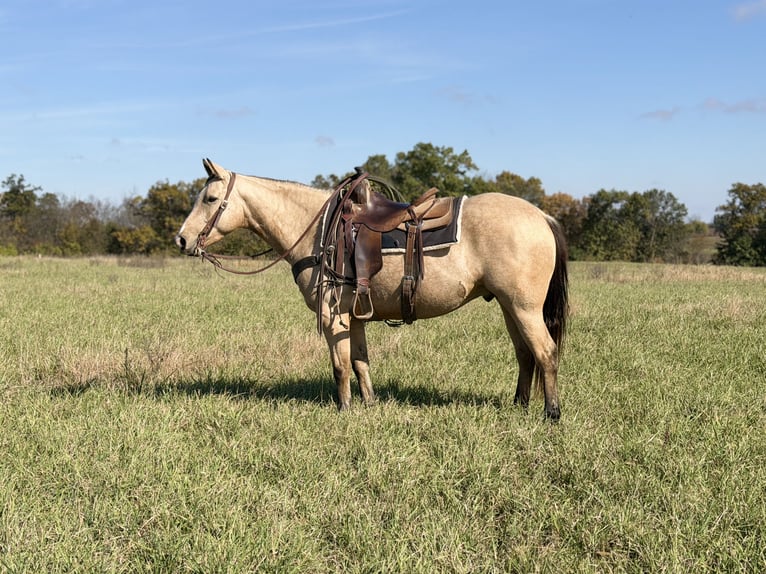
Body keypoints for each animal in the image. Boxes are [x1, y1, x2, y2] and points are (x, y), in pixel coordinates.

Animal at [175, 159, 569, 419]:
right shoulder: (356, 315)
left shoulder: (334, 317)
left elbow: (340, 365)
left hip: (523, 307)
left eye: (210, 199)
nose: (181, 240)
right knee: (525, 354)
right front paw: (369, 403)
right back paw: (519, 404)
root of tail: (541, 216)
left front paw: (345, 408)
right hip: (508, 306)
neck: (316, 230)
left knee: (545, 352)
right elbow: (360, 361)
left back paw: (551, 412)